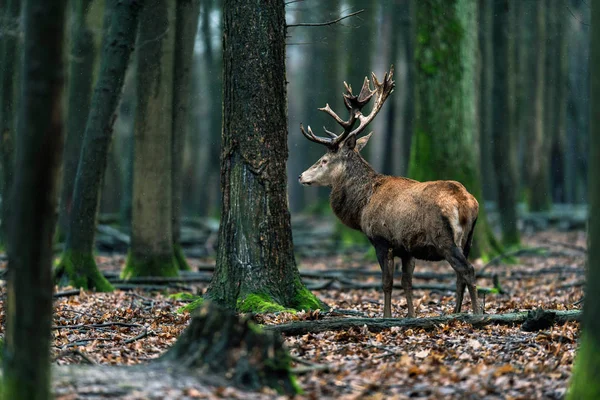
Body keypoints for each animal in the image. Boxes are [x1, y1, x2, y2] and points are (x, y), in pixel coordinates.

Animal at [298, 68, 482, 318]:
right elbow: (407, 283)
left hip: (445, 238)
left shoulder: (381, 239)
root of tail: (465, 202)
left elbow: (386, 282)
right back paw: (456, 311)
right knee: (460, 274)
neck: (362, 206)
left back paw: (476, 313)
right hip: (469, 239)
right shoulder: (407, 248)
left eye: (324, 159)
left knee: (468, 270)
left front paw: (386, 316)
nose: (301, 176)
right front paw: (411, 316)